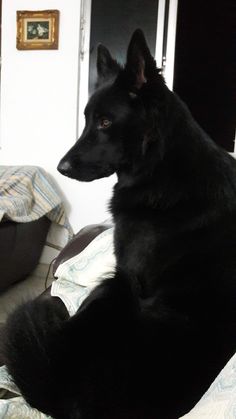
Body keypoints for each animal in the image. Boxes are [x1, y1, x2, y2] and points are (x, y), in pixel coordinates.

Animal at [2, 30, 236, 419]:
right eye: (87, 119)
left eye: (106, 122)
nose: (61, 168)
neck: (162, 167)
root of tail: (66, 400)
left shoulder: (127, 270)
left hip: (114, 285)